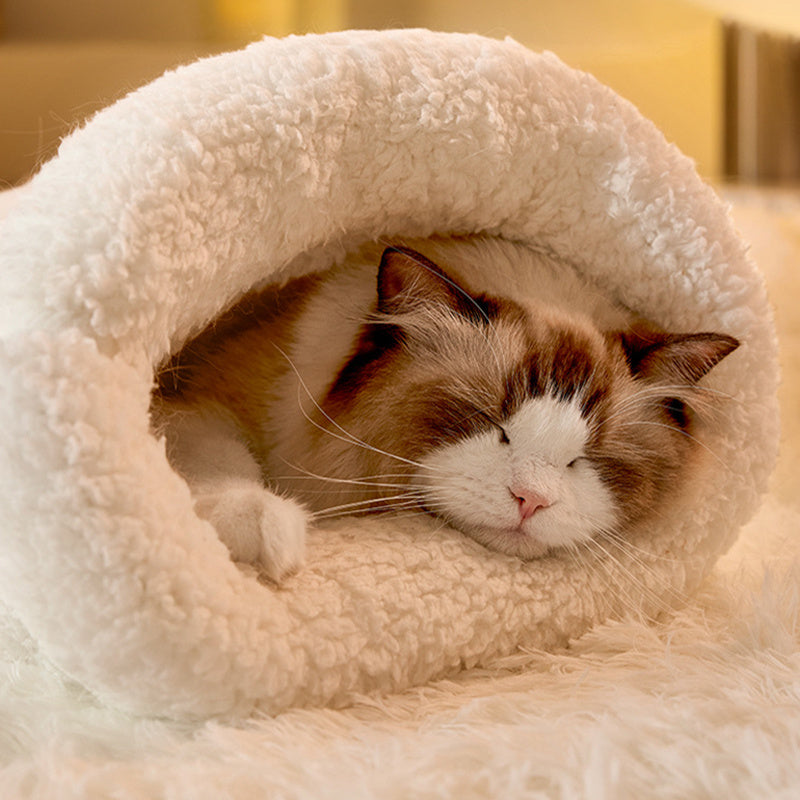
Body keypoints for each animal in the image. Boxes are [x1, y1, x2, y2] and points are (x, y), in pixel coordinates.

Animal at [150, 236, 736, 580]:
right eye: (490, 422)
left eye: (587, 459)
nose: (531, 500)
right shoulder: (194, 400)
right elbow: (220, 463)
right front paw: (269, 532)